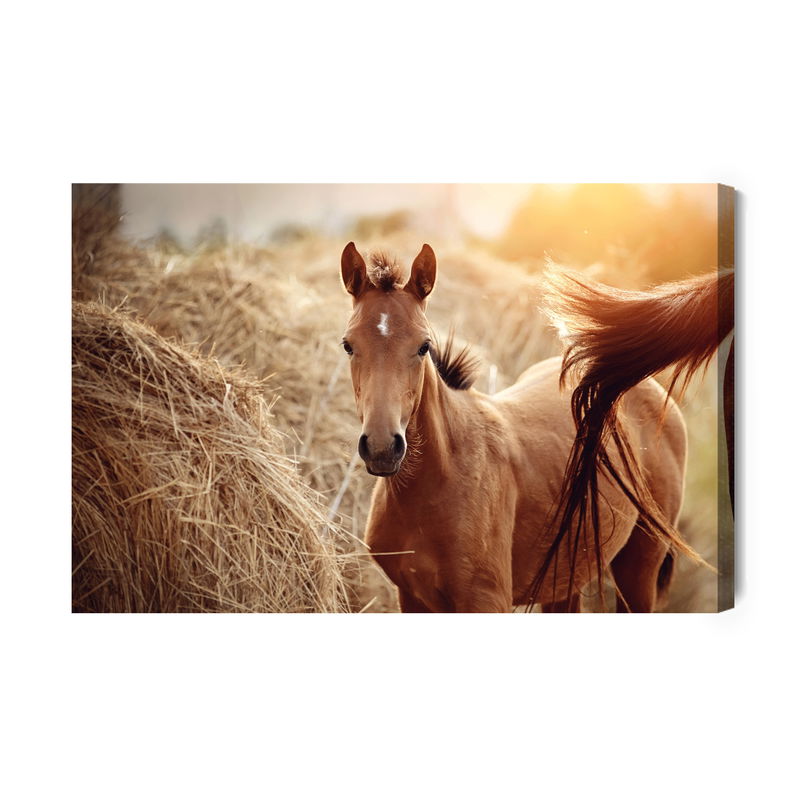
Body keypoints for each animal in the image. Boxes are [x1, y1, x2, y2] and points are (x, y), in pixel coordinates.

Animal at [339, 241, 700, 612]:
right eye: (348, 345)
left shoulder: (486, 600)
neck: (441, 476)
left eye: (424, 346)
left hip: (639, 565)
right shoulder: (411, 597)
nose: (382, 447)